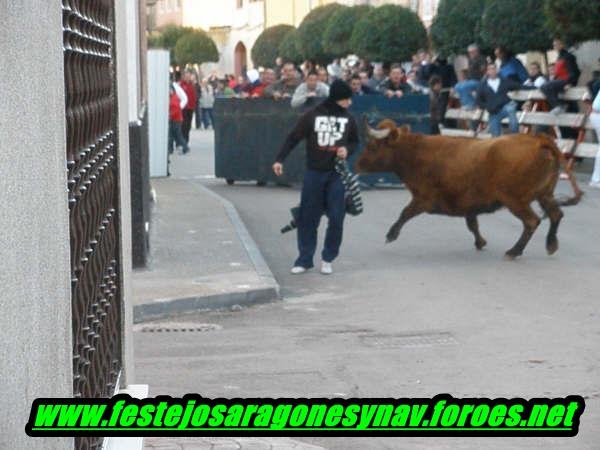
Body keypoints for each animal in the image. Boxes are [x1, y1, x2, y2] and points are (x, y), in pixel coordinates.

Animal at [356, 120, 580, 260]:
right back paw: (551, 244)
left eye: (373, 145)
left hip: (515, 200)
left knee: (532, 221)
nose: (357, 165)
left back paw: (514, 251)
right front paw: (480, 242)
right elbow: (472, 224)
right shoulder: (468, 204)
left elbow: (405, 213)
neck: (416, 153)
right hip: (544, 194)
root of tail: (539, 139)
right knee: (556, 214)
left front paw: (391, 234)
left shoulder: (423, 198)